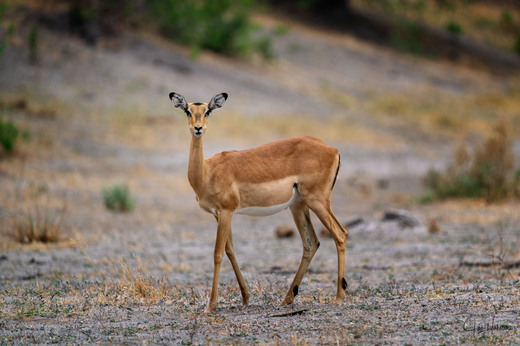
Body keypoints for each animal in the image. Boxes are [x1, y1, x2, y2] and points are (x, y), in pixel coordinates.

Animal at [171, 91, 348, 310]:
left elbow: (218, 253)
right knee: (311, 243)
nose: (198, 128)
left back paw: (339, 296)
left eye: (208, 111)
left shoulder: (227, 212)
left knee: (340, 234)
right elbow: (230, 250)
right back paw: (287, 298)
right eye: (188, 111)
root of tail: (332, 149)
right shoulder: (218, 214)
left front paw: (210, 305)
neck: (207, 172)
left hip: (317, 201)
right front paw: (246, 298)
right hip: (298, 206)